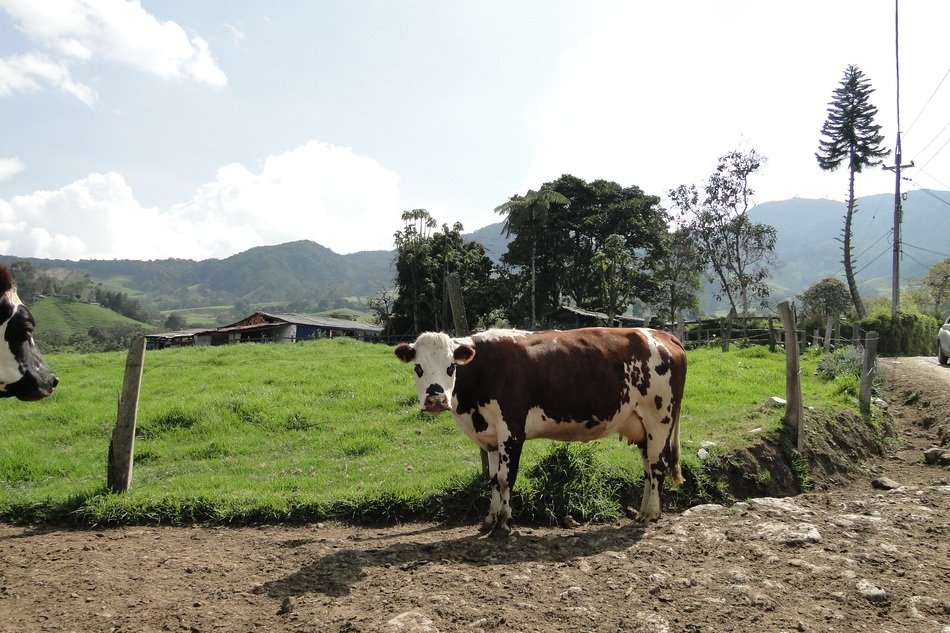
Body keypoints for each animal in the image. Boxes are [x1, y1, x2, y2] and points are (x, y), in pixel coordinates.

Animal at [395, 327, 686, 537]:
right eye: (418, 368)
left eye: (451, 367)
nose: (436, 399)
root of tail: (661, 334)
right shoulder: (491, 438)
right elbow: (492, 480)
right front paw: (490, 518)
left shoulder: (512, 433)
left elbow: (505, 479)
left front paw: (504, 522)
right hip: (642, 426)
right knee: (647, 467)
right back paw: (642, 511)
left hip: (658, 418)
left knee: (657, 466)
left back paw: (650, 514)